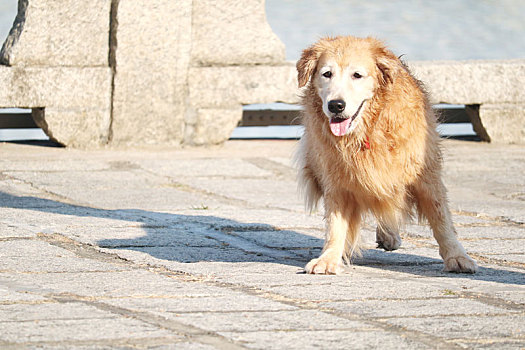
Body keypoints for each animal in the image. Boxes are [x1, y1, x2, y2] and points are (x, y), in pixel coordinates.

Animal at [296, 37, 476, 274]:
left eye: (357, 75)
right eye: (327, 74)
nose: (335, 105)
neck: (369, 130)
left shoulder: (426, 175)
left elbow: (441, 219)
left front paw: (457, 256)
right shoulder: (337, 179)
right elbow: (336, 223)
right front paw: (329, 258)